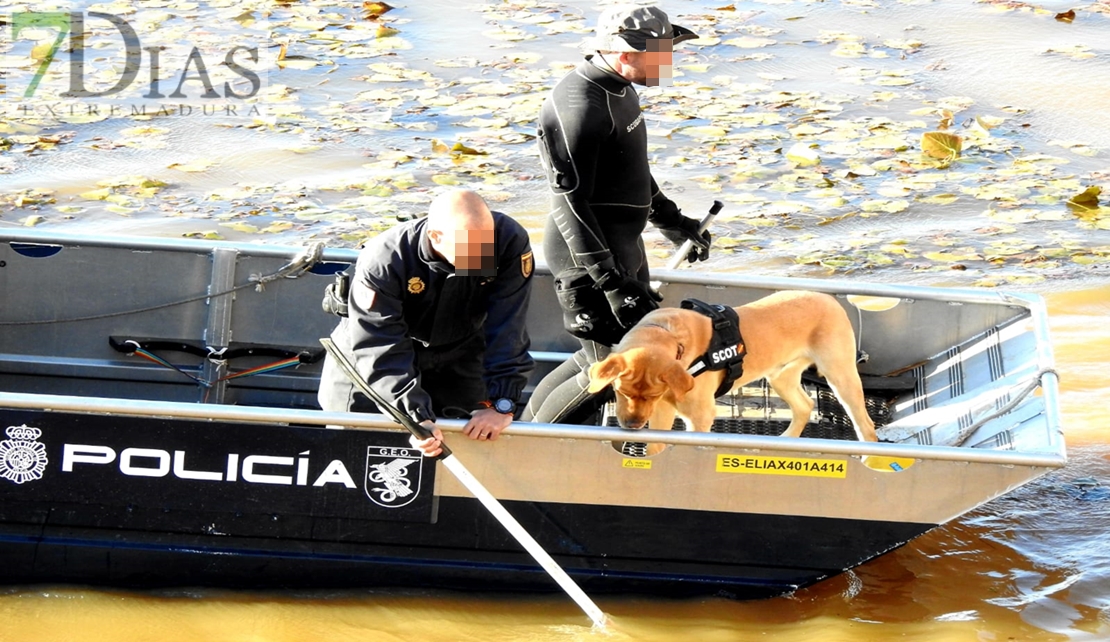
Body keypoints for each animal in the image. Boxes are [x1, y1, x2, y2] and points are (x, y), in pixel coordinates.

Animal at [590, 288, 874, 444]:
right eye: (620, 391)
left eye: (651, 395)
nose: (632, 425)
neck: (667, 335)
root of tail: (831, 299)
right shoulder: (662, 412)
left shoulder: (699, 418)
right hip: (780, 376)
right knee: (804, 406)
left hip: (841, 377)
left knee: (867, 427)